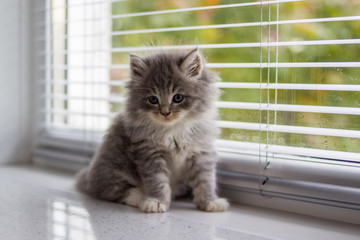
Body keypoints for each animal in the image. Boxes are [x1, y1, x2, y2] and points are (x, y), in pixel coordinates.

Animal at [76, 47, 229, 213]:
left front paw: (209, 202)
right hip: (112, 169)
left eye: (178, 98)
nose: (165, 112)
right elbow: (157, 181)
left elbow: (205, 180)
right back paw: (141, 197)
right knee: (112, 191)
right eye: (153, 99)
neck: (173, 131)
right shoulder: (149, 153)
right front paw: (157, 202)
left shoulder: (202, 151)